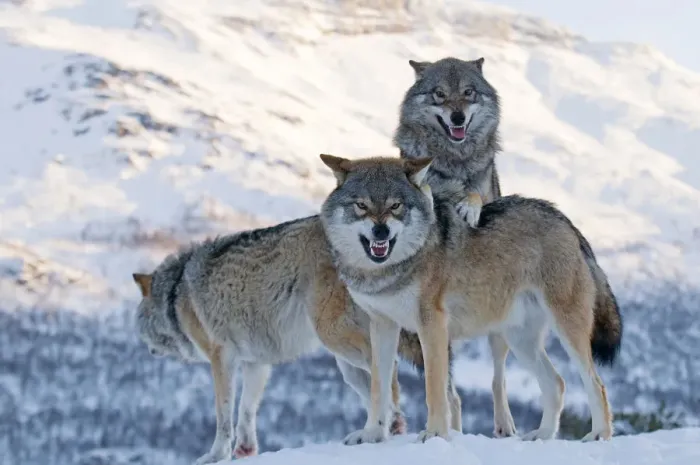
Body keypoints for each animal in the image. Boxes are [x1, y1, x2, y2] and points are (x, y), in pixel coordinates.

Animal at [132, 214, 460, 462]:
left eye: (139, 324)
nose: (146, 350)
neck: (175, 294)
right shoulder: (256, 363)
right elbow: (247, 411)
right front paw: (245, 451)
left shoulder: (221, 358)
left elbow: (223, 415)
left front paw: (215, 456)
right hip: (348, 364)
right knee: (438, 392)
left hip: (336, 339)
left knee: (390, 379)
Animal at [319, 154, 623, 444]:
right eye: (361, 205)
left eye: (396, 206)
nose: (380, 231)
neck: (388, 270)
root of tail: (565, 219)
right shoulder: (382, 325)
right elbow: (378, 389)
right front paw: (371, 434)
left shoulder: (431, 326)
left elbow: (434, 388)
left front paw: (434, 434)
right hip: (520, 340)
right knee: (557, 384)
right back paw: (543, 435)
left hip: (567, 330)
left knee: (596, 383)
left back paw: (599, 435)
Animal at [394, 56, 515, 436]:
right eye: (439, 94)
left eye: (468, 92)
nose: (458, 118)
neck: (453, 161)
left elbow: (475, 195)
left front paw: (468, 207)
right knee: (453, 395)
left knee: (497, 379)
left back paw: (504, 425)